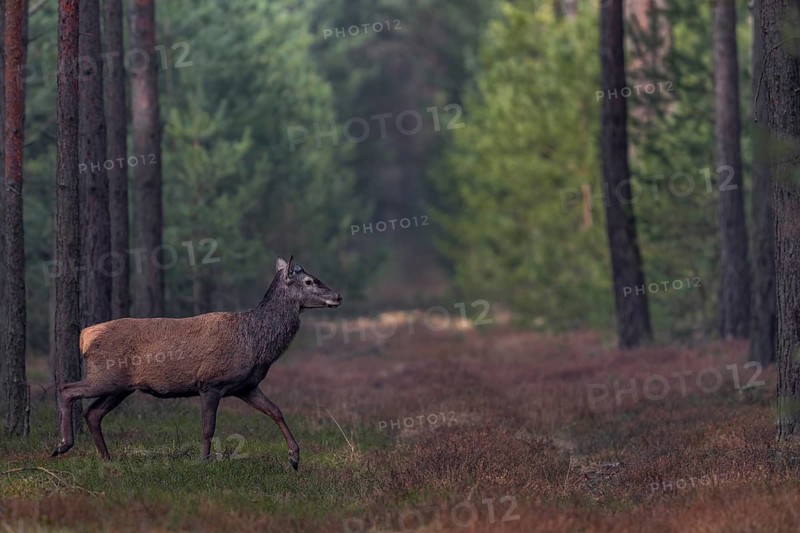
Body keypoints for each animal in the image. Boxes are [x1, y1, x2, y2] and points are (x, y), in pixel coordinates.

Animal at [51, 257, 342, 470]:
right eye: (309, 280)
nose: (338, 296)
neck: (255, 342)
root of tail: (84, 336)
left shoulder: (245, 386)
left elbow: (276, 410)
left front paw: (294, 457)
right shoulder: (211, 382)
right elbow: (207, 427)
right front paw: (204, 461)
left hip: (120, 386)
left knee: (93, 413)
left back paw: (106, 457)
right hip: (106, 376)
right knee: (67, 389)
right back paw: (63, 444)